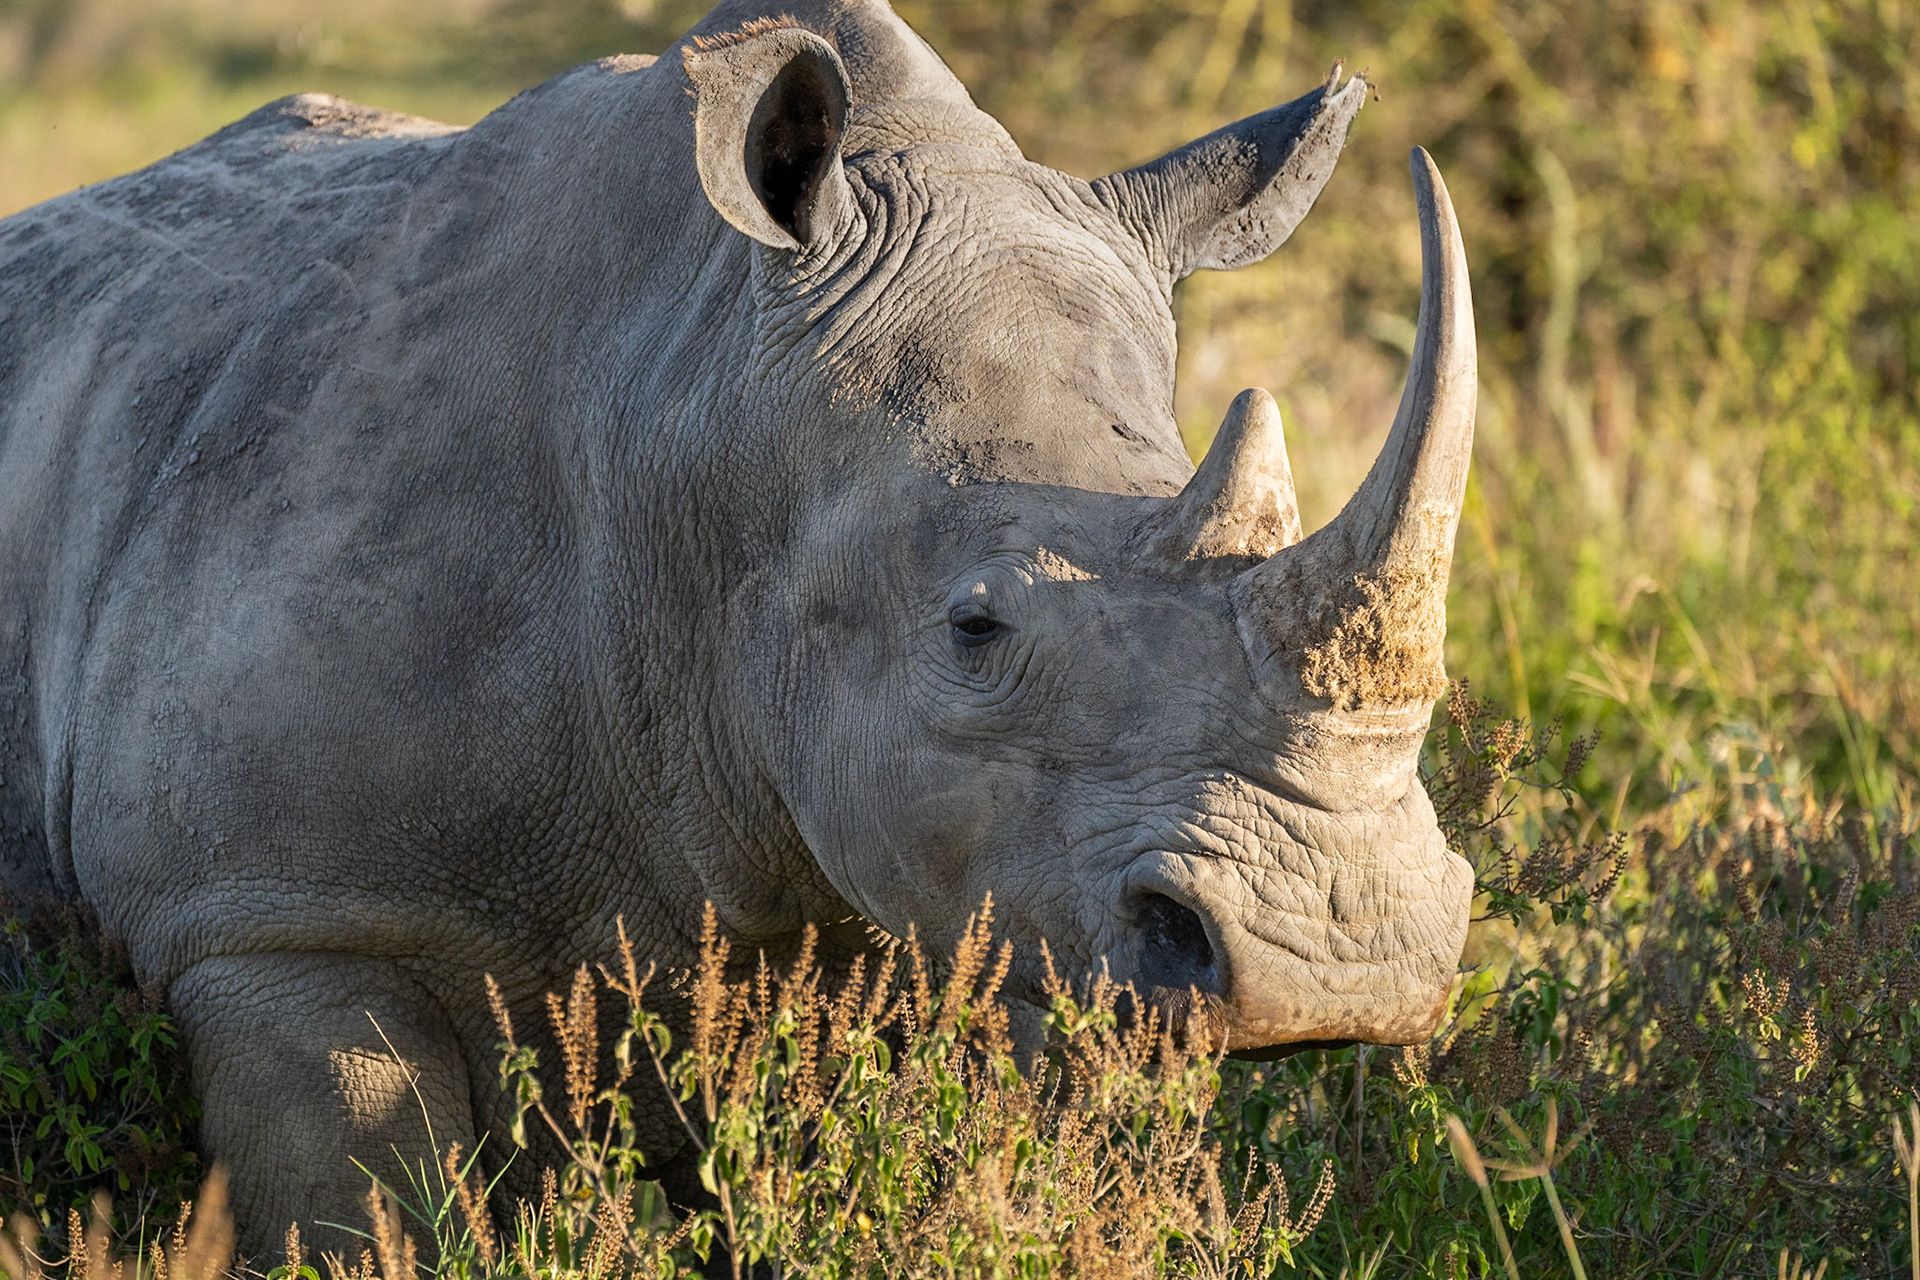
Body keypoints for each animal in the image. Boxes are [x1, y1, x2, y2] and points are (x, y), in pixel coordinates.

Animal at [0, 0, 1478, 1252]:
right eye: (974, 628)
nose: (1344, 959)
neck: (695, 416)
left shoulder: (1011, 912)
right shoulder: (277, 920)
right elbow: (360, 1222)